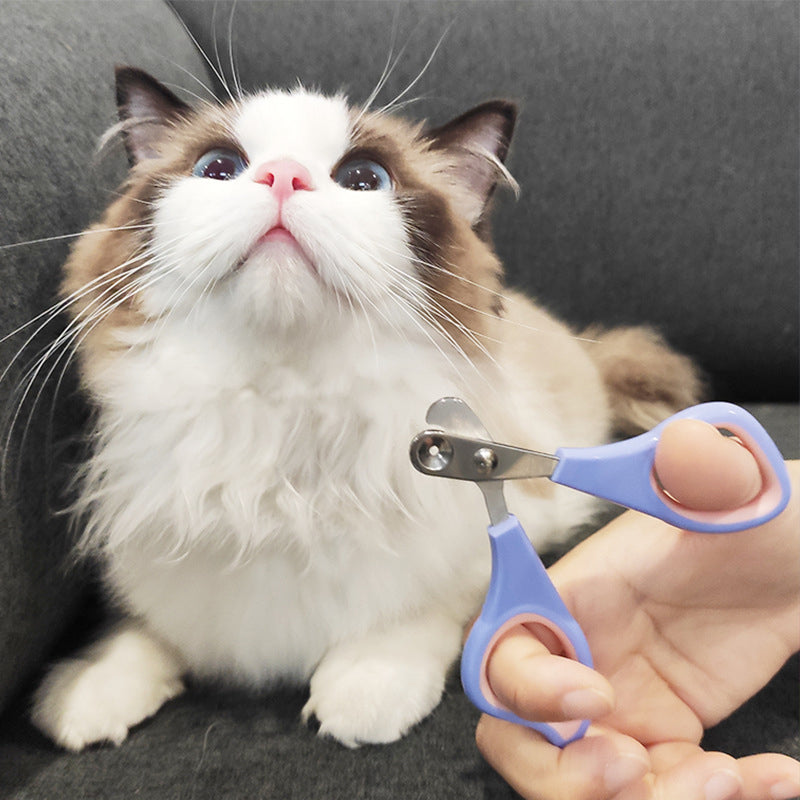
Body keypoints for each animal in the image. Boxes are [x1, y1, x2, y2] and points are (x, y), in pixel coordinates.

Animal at [29, 67, 700, 752]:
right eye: (219, 168)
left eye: (363, 179)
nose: (283, 176)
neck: (282, 418)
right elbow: (139, 631)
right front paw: (88, 696)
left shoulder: (512, 516)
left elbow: (421, 611)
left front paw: (364, 693)